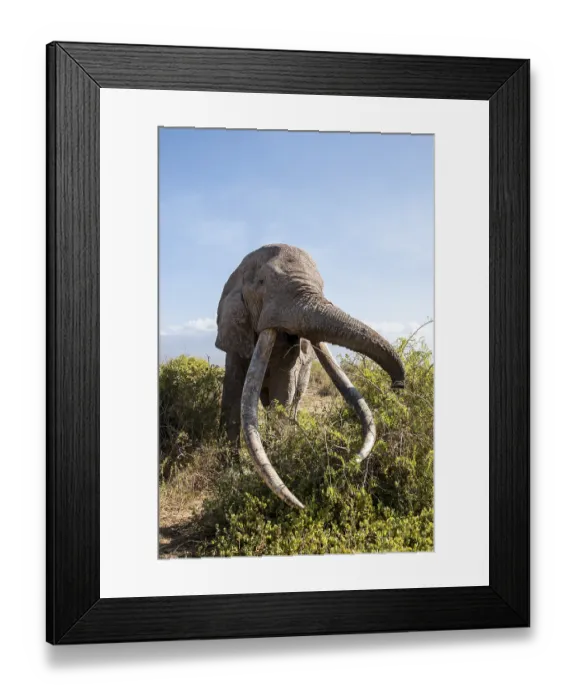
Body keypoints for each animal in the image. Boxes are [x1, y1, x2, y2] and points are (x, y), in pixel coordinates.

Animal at [215, 244, 405, 509]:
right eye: (262, 282)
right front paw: (230, 474)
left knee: (293, 399)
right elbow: (232, 391)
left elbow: (282, 389)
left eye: (322, 287)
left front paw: (279, 453)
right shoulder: (233, 330)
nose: (398, 384)